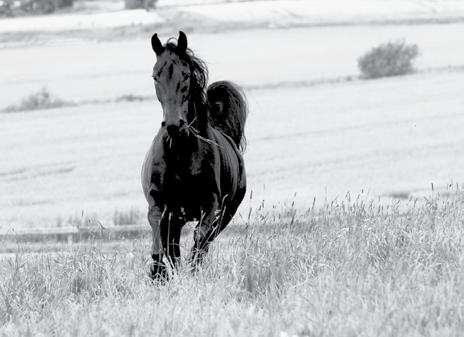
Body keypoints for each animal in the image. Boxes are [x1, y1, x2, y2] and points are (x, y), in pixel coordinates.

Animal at [141, 31, 248, 278]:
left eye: (186, 75)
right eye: (155, 76)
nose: (173, 125)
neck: (180, 152)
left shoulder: (211, 204)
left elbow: (200, 238)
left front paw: (191, 272)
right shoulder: (159, 202)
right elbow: (159, 236)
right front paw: (158, 272)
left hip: (225, 214)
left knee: (205, 241)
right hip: (176, 218)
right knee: (172, 245)